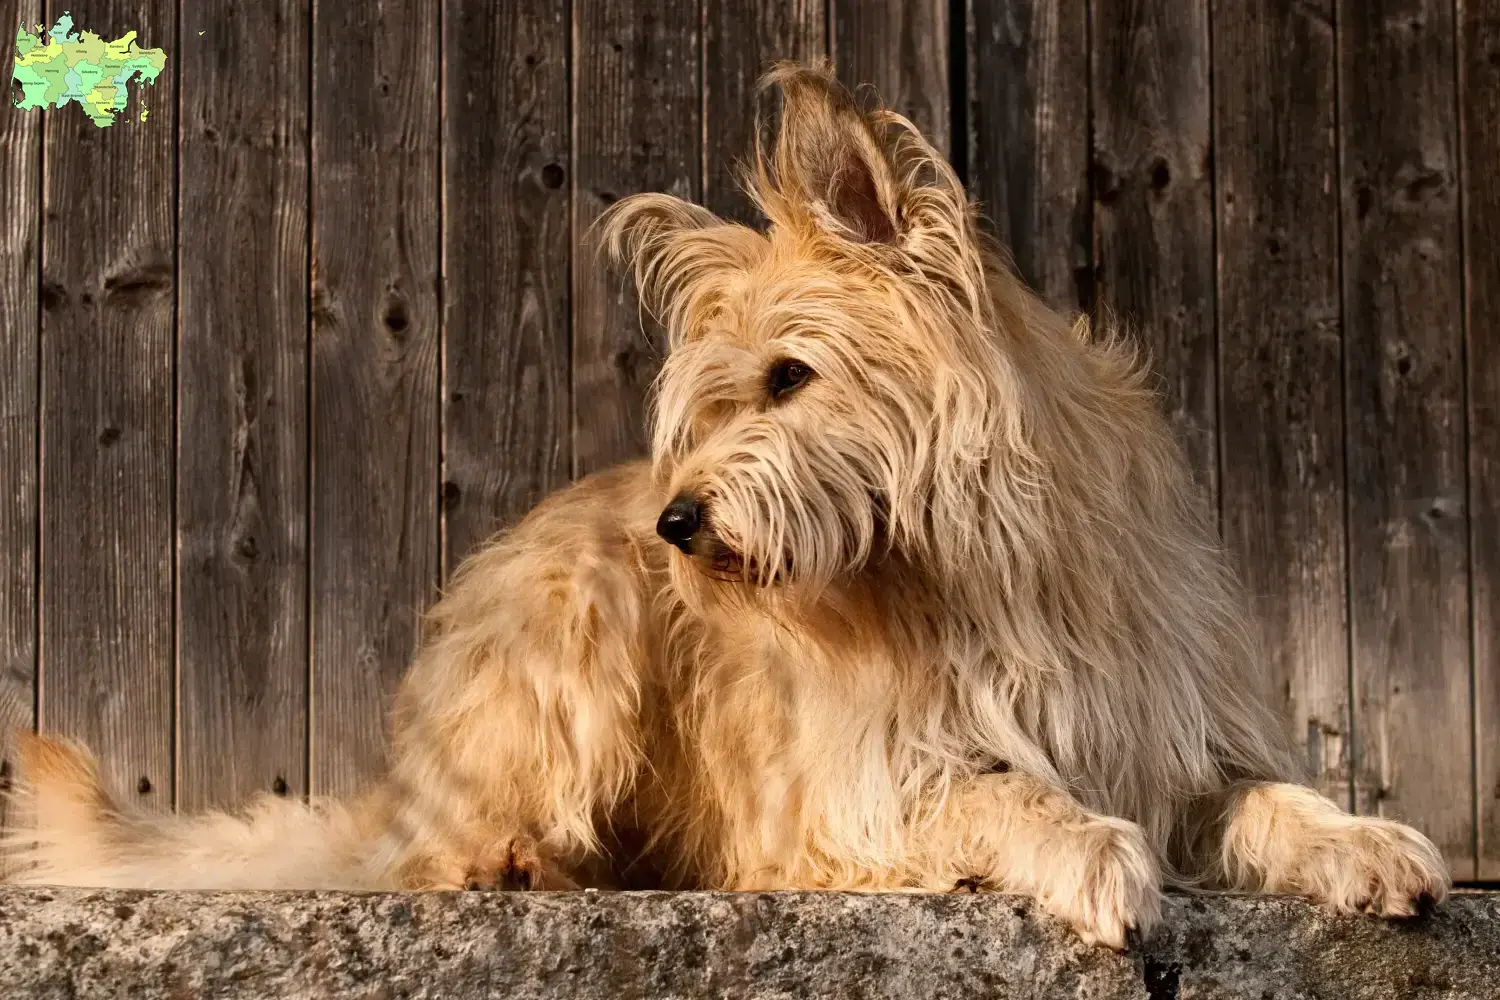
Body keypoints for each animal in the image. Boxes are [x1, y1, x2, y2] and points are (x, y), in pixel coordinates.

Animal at [2, 64, 1452, 953]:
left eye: (791, 377)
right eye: (710, 403)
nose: (677, 527)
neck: (979, 572)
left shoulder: (1172, 731)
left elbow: (1266, 795)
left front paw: (1361, 840)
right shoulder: (857, 792)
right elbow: (999, 792)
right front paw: (1089, 845)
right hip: (573, 638)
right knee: (433, 856)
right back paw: (518, 865)